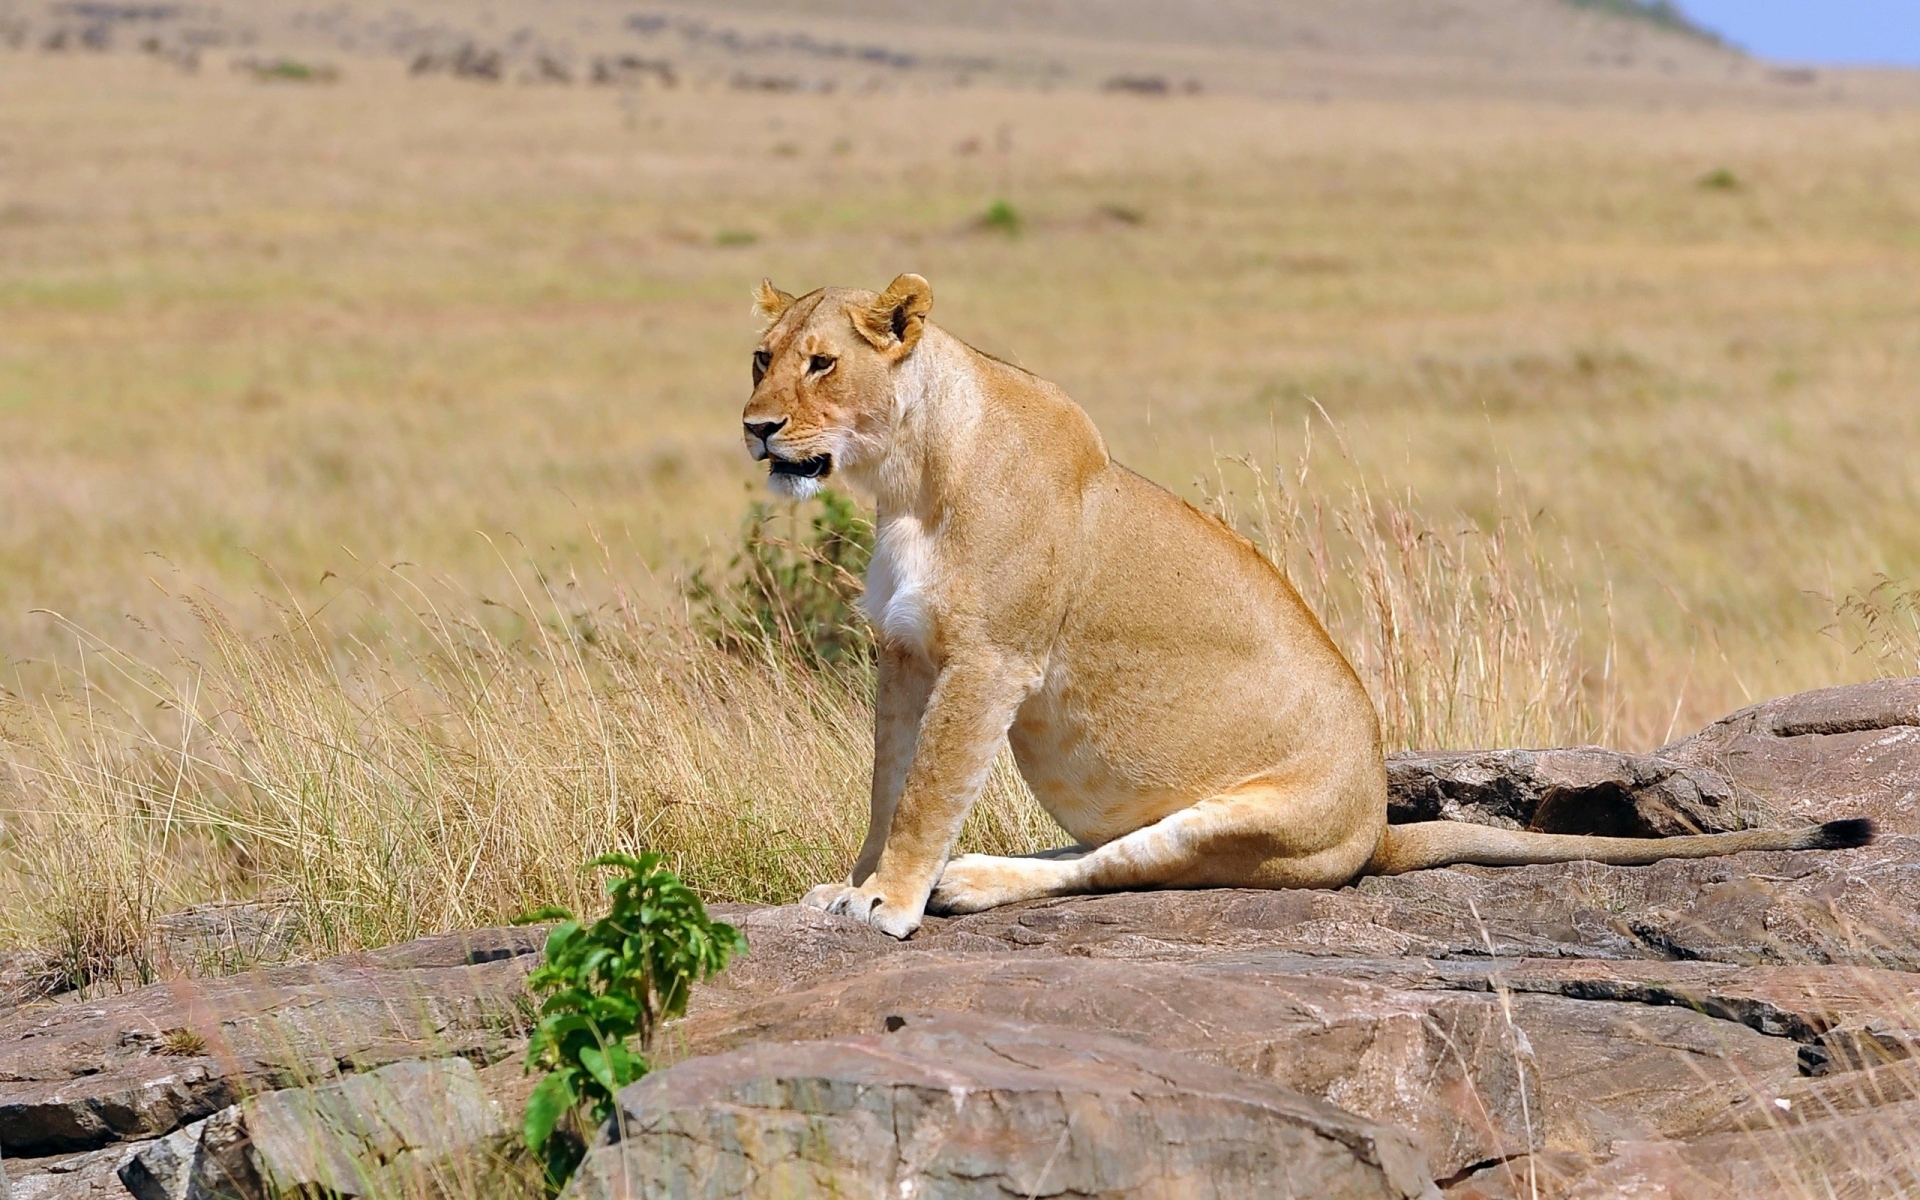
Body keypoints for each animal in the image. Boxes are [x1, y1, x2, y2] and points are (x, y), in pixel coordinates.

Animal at [740, 272, 1874, 939]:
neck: (901, 479)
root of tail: (1377, 830)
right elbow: (888, 783)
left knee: (1118, 868)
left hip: (1248, 823)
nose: (754, 428)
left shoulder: (988, 661)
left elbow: (929, 788)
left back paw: (969, 882)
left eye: (823, 363)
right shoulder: (904, 654)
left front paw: (889, 901)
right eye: (761, 358)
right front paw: (851, 884)